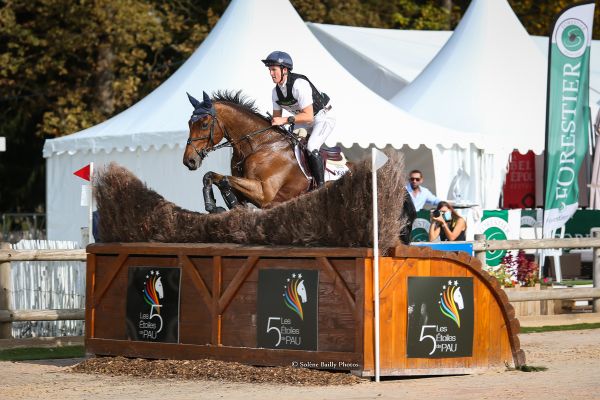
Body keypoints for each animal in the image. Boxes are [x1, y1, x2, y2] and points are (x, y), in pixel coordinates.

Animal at [182, 92, 346, 214]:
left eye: (204, 124)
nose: (189, 161)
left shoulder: (264, 194)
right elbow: (210, 176)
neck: (258, 145)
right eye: (189, 123)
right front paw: (214, 206)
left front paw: (218, 206)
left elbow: (224, 180)